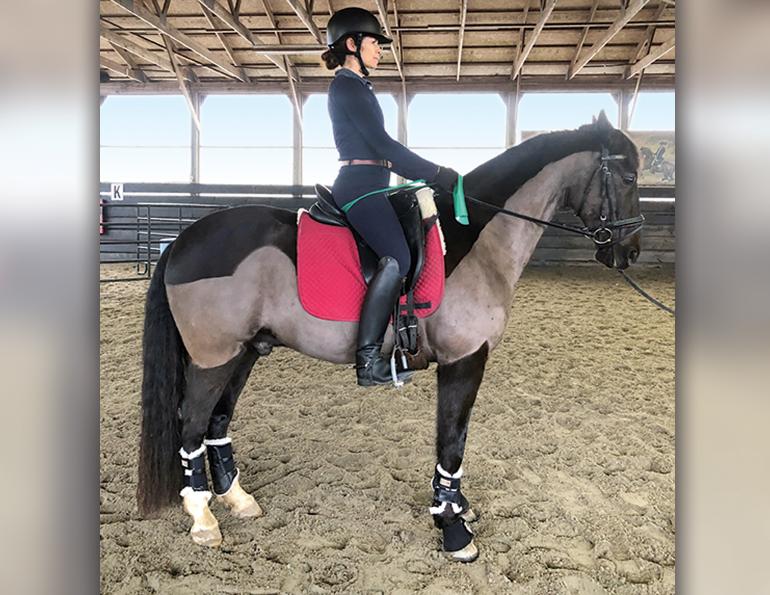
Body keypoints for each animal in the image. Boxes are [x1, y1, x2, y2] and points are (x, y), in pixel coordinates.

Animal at [136, 110, 642, 562]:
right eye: (630, 176)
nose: (630, 252)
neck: (478, 241)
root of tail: (184, 240)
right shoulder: (463, 361)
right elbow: (452, 442)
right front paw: (453, 530)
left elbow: (452, 443)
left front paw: (456, 509)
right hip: (213, 358)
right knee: (191, 424)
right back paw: (203, 519)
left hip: (245, 352)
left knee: (217, 422)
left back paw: (237, 499)